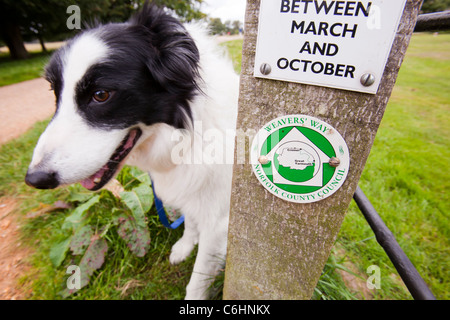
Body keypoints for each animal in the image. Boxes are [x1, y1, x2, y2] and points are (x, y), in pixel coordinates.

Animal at [25, 4, 239, 300]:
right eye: (56, 95)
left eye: (101, 95)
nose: (34, 179)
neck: (186, 135)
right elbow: (190, 221)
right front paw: (185, 246)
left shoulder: (218, 220)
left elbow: (198, 279)